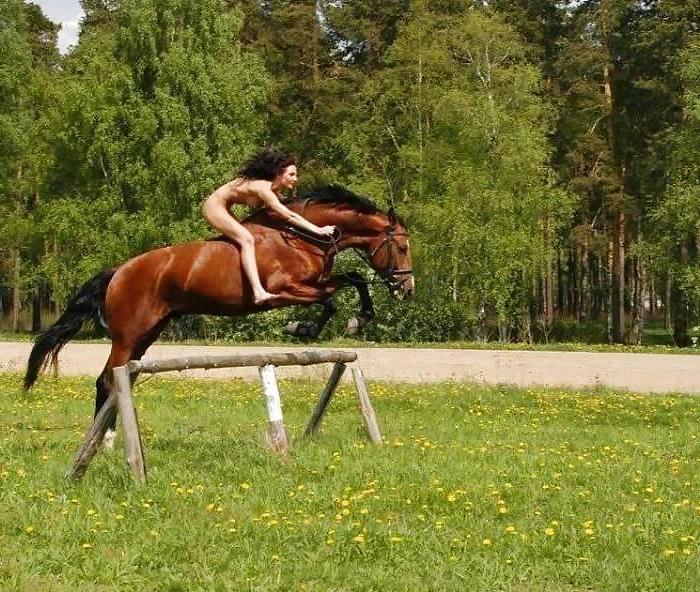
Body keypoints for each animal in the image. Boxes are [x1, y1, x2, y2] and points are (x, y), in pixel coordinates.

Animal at [24, 185, 414, 441]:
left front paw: (355, 319)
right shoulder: (286, 290)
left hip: (147, 334)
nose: (407, 288)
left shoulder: (317, 280)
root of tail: (118, 271)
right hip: (128, 335)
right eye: (403, 247)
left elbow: (354, 279)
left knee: (120, 380)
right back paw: (105, 441)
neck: (300, 236)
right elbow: (332, 298)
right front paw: (303, 327)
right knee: (108, 380)